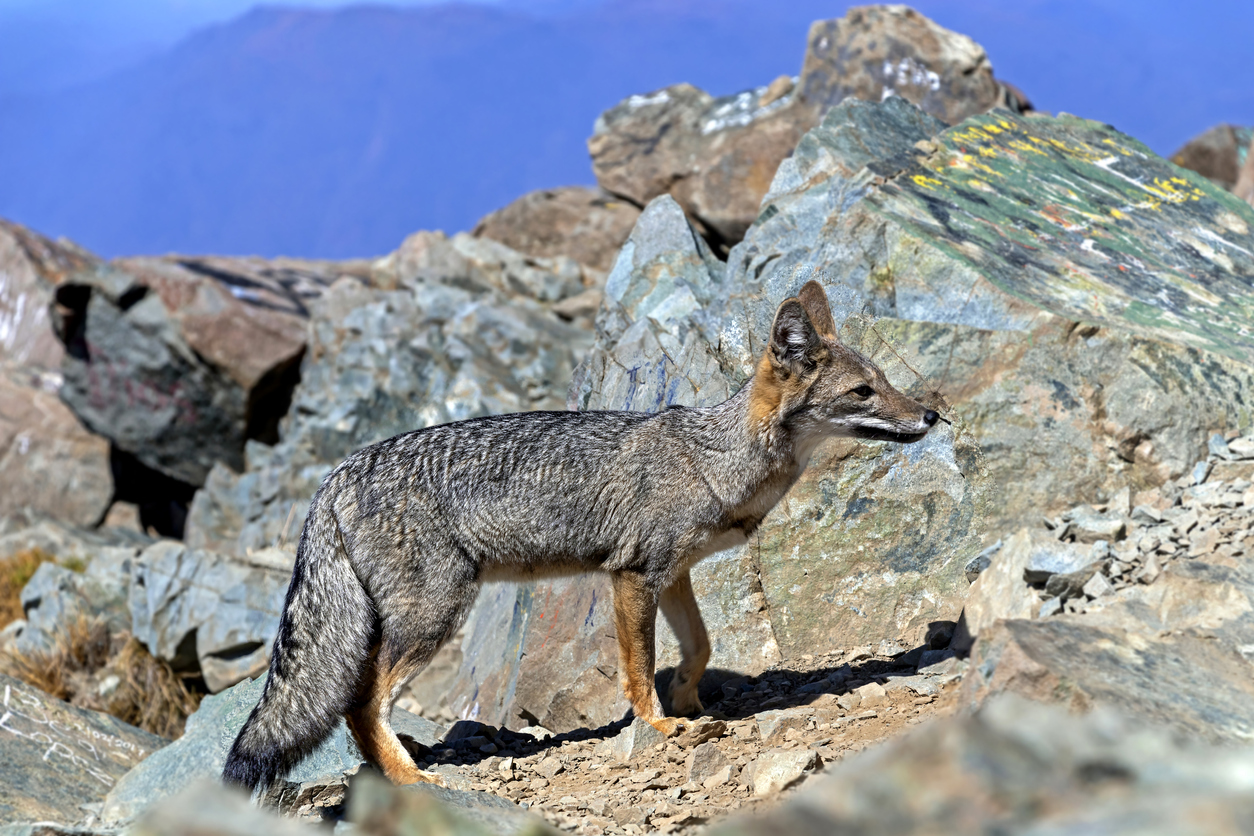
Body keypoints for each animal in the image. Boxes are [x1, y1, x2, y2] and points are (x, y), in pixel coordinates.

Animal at [220, 279, 937, 792]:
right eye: (863, 392)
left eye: (885, 382)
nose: (932, 415)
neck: (714, 459)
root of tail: (336, 474)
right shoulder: (632, 575)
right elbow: (638, 669)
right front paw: (660, 724)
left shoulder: (671, 573)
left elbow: (699, 646)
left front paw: (689, 700)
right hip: (435, 615)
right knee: (362, 704)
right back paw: (408, 776)